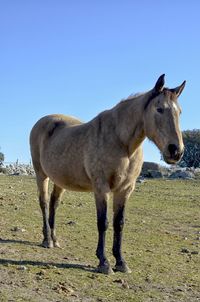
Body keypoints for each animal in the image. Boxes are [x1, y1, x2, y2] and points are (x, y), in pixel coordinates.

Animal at [29, 75, 186, 274]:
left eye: (179, 112)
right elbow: (102, 222)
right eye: (159, 109)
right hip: (41, 174)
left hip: (59, 180)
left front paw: (120, 261)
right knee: (43, 203)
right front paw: (103, 262)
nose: (176, 151)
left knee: (53, 204)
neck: (121, 142)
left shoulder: (125, 189)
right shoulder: (101, 188)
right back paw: (47, 239)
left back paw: (55, 239)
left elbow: (119, 223)